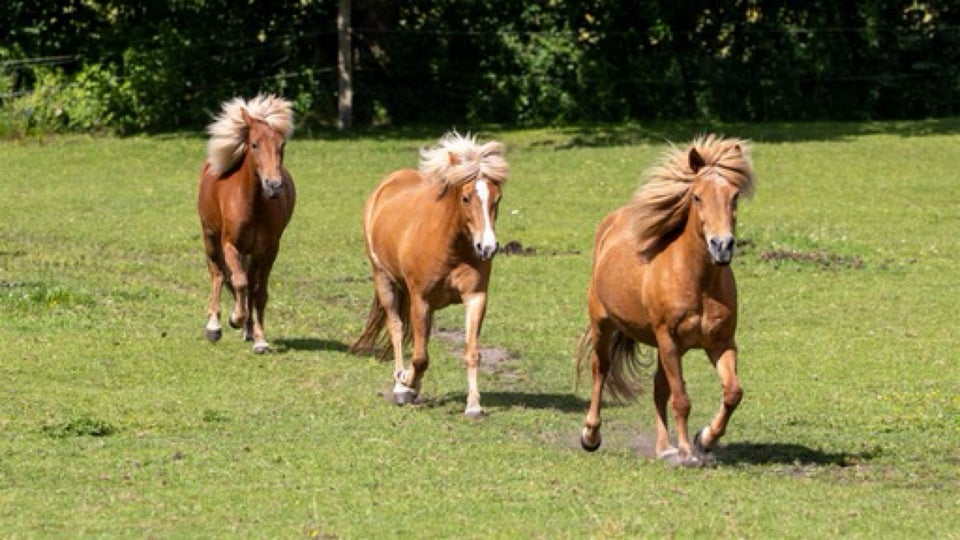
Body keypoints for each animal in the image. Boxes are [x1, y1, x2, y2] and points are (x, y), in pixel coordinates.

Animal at [197, 93, 294, 354]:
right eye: (254, 145)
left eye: (282, 145)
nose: (274, 185)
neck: (253, 206)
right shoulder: (231, 245)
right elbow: (238, 281)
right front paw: (234, 318)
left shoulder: (268, 250)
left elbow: (258, 291)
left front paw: (260, 338)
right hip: (210, 238)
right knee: (218, 274)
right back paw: (214, 326)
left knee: (249, 283)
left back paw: (249, 331)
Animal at [346, 131, 510, 418]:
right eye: (466, 197)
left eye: (497, 199)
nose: (487, 247)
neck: (451, 246)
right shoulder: (420, 300)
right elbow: (420, 357)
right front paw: (405, 384)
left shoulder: (475, 297)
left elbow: (471, 352)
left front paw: (474, 405)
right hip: (384, 280)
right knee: (396, 327)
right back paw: (401, 385)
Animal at [576, 134, 756, 464]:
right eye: (697, 197)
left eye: (734, 195)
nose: (722, 246)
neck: (698, 284)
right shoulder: (669, 339)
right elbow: (682, 399)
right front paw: (687, 451)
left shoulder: (720, 342)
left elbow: (732, 393)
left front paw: (704, 439)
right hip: (604, 326)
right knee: (600, 370)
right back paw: (591, 435)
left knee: (659, 387)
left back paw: (663, 447)